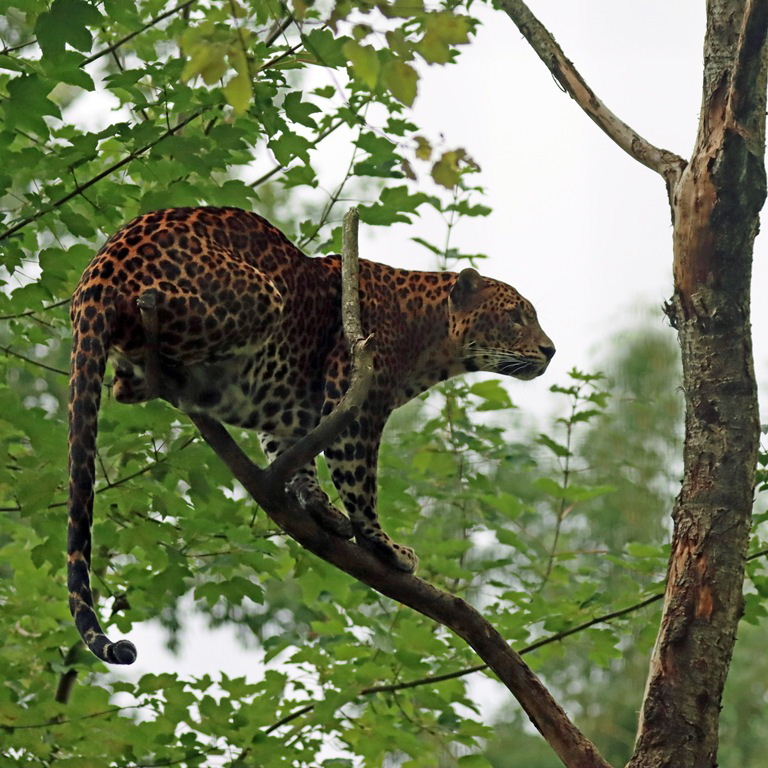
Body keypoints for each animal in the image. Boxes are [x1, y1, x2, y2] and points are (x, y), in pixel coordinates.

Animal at [67, 206, 555, 665]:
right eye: (516, 317)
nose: (551, 350)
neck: (432, 337)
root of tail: (96, 275)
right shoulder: (356, 399)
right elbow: (359, 481)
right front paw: (384, 546)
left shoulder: (294, 409)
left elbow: (294, 453)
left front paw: (320, 508)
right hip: (257, 296)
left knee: (124, 386)